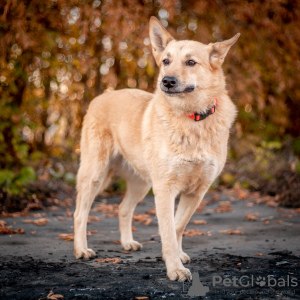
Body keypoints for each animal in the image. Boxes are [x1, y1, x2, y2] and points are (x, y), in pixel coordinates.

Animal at [74, 17, 240, 282]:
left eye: (191, 62)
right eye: (166, 61)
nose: (167, 81)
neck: (192, 118)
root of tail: (101, 96)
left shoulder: (197, 191)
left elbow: (178, 226)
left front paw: (177, 257)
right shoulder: (165, 188)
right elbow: (169, 231)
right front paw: (175, 268)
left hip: (141, 183)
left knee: (123, 209)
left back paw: (127, 242)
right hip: (95, 175)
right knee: (80, 214)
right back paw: (81, 250)